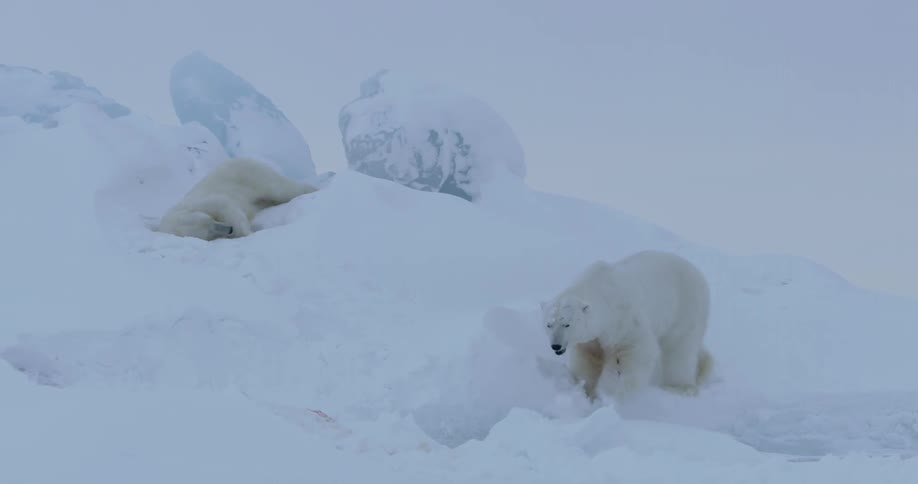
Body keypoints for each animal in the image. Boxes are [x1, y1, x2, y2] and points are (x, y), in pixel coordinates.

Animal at [156, 157, 318, 240]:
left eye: (209, 220)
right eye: (208, 232)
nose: (229, 229)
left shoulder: (199, 202)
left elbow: (224, 204)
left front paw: (246, 233)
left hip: (250, 174)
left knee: (280, 188)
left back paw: (313, 189)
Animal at [540, 250, 713, 402]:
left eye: (567, 324)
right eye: (549, 324)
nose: (556, 346)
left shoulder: (624, 321)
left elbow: (634, 353)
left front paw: (619, 394)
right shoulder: (592, 338)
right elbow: (588, 359)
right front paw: (584, 391)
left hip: (686, 307)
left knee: (680, 348)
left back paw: (680, 387)